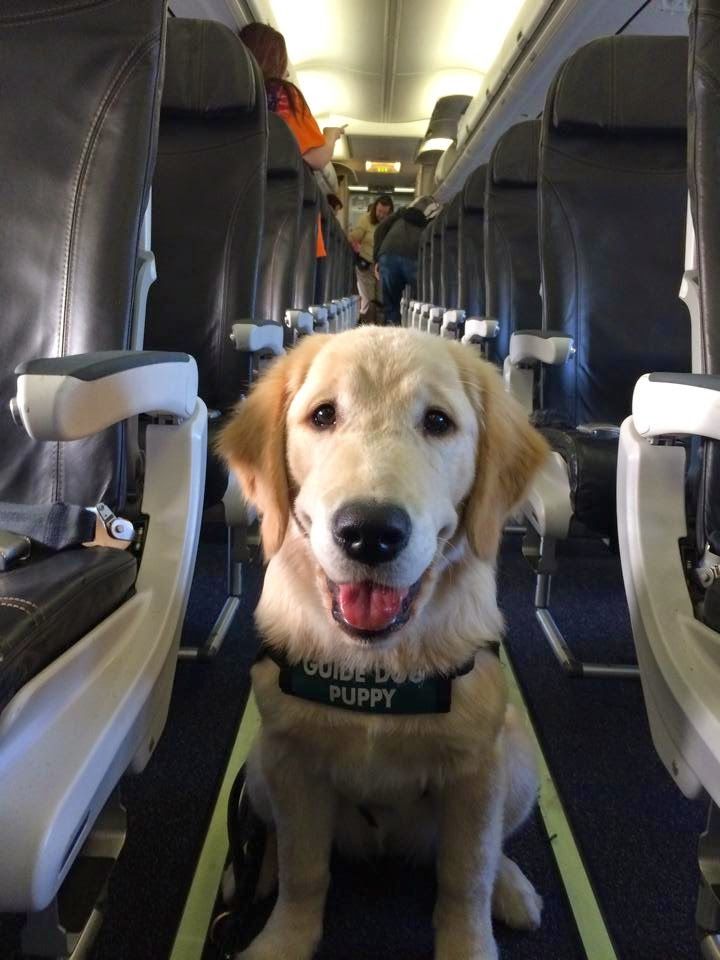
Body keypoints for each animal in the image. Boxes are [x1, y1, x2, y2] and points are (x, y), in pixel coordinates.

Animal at [218, 326, 549, 960]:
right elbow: (303, 868)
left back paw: (512, 886)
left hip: (517, 759)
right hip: (261, 763)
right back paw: (253, 873)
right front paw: (284, 938)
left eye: (439, 422)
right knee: (274, 838)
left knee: (490, 850)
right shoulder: (293, 762)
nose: (369, 533)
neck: (375, 668)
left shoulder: (477, 770)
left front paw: (470, 941)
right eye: (323, 415)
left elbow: (467, 873)